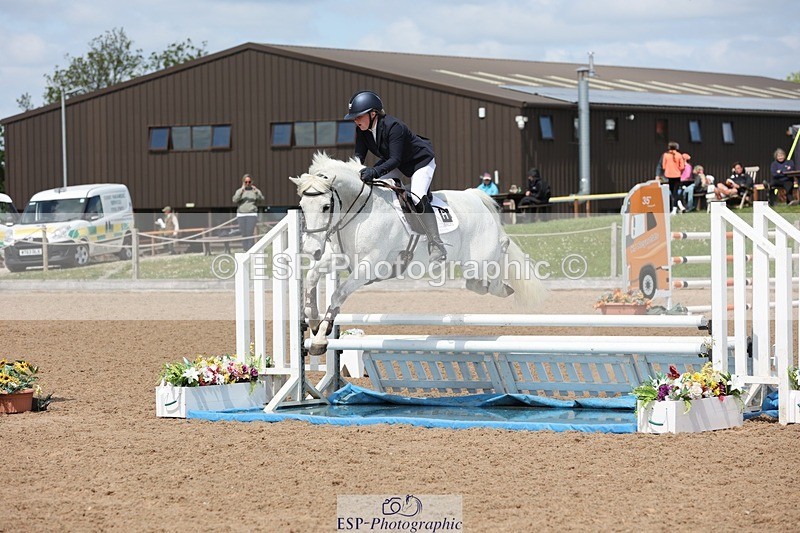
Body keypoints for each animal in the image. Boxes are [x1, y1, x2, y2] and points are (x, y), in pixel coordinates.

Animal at [290, 152, 546, 355]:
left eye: (326, 206)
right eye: (301, 206)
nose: (311, 250)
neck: (361, 210)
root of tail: (475, 196)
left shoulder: (369, 266)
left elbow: (338, 295)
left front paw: (319, 340)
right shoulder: (341, 258)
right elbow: (312, 277)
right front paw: (313, 322)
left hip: (481, 256)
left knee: (500, 251)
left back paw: (500, 287)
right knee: (476, 280)